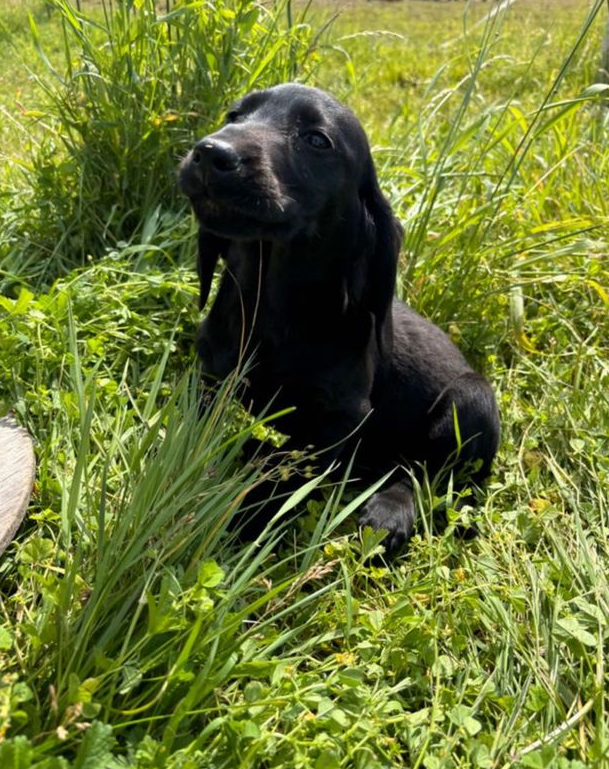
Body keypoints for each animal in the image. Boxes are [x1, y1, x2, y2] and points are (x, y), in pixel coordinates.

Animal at [177, 82, 498, 552]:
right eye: (234, 115)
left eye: (316, 140)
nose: (209, 152)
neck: (270, 302)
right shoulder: (210, 379)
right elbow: (202, 436)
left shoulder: (340, 417)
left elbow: (283, 473)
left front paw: (245, 523)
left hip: (472, 399)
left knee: (423, 471)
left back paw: (390, 512)